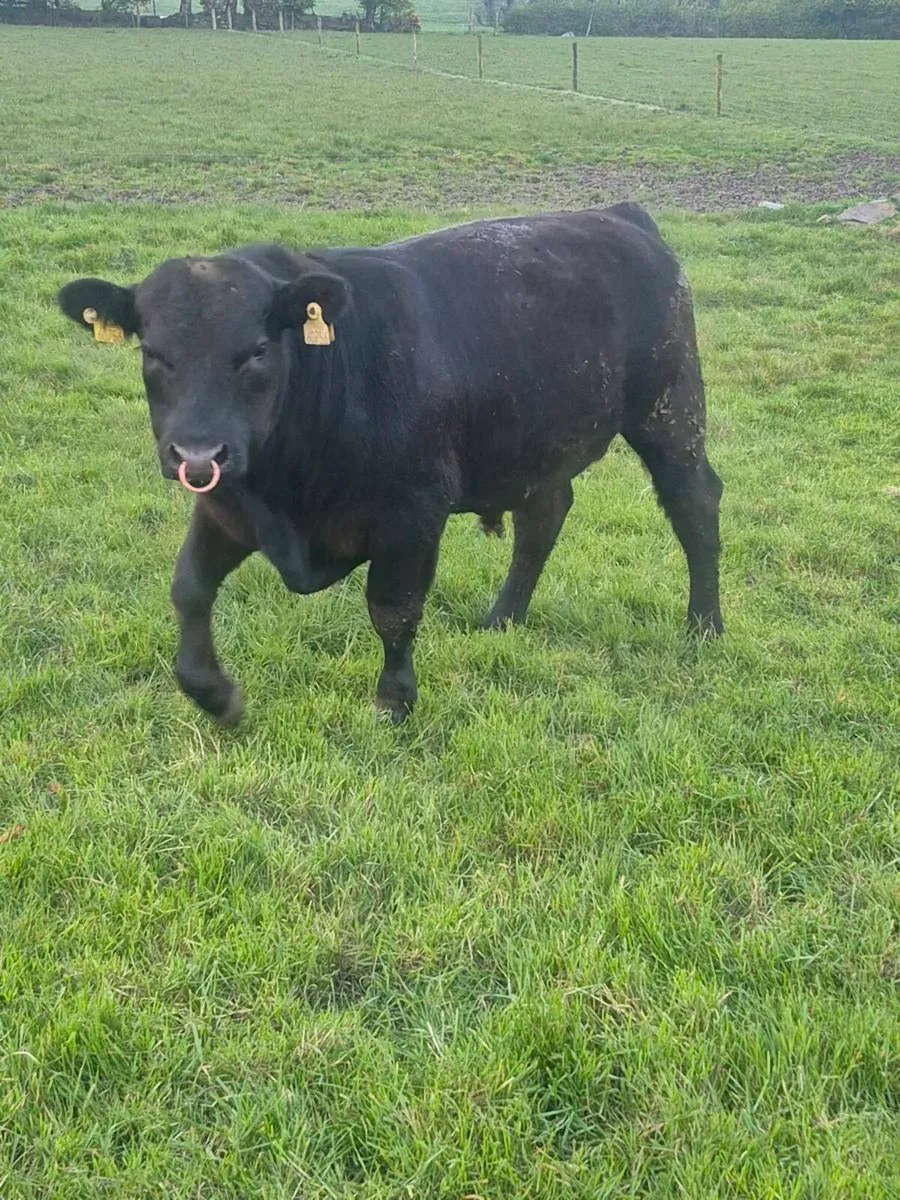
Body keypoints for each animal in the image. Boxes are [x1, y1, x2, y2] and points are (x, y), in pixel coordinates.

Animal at [57, 203, 723, 726]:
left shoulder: (412, 515)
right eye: (154, 352)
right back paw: (502, 618)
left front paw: (394, 701)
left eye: (256, 350)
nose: (197, 453)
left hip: (671, 411)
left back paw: (705, 625)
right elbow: (189, 587)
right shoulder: (225, 507)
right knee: (544, 517)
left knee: (695, 505)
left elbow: (393, 611)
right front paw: (213, 695)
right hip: (538, 444)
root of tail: (618, 215)